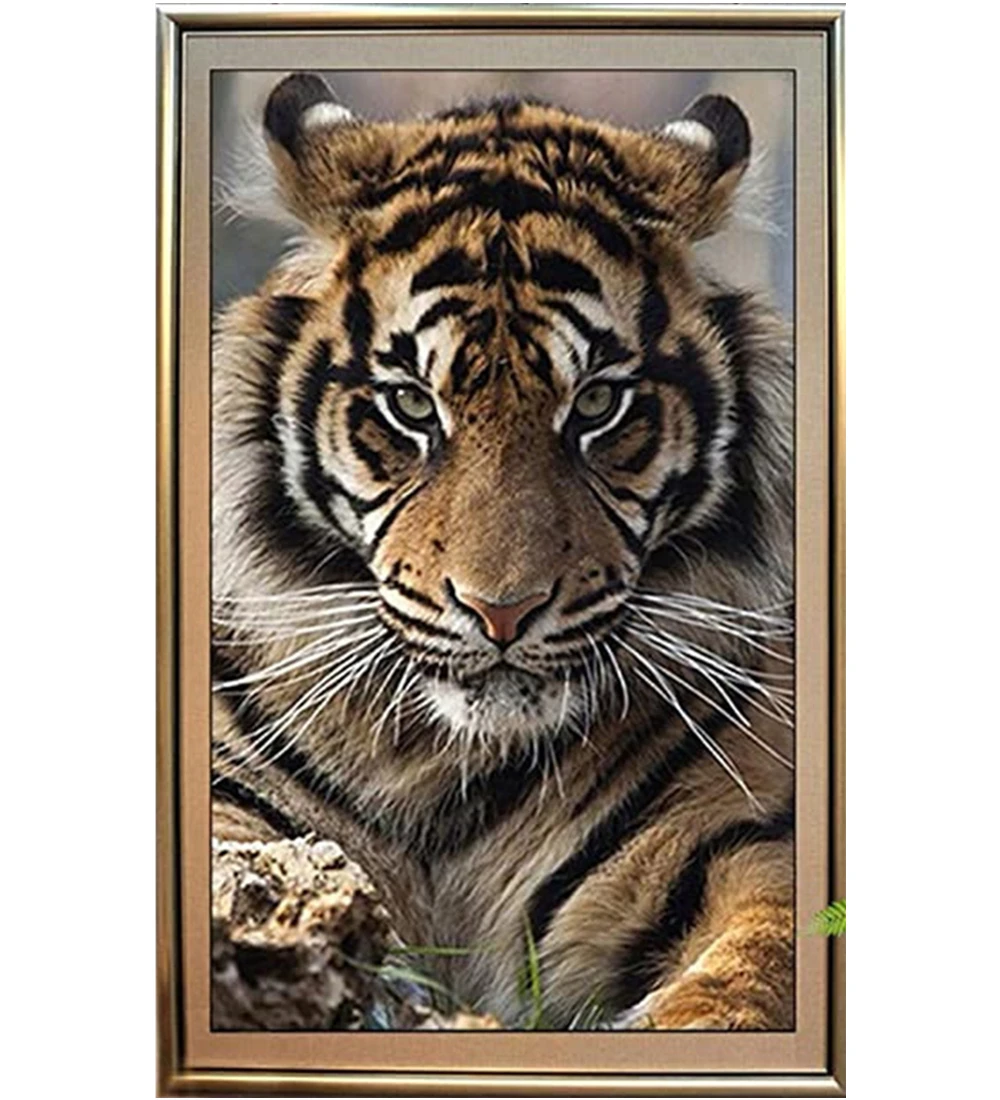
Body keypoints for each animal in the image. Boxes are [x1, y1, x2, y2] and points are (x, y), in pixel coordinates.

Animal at [211, 72, 795, 1031]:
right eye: (413, 405)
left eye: (596, 404)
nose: (502, 612)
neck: (440, 764)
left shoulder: (743, 834)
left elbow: (762, 963)